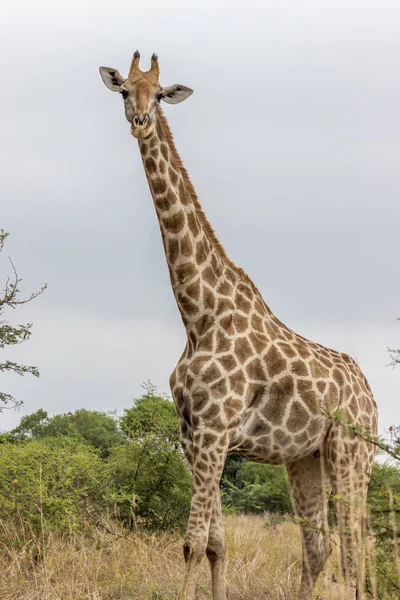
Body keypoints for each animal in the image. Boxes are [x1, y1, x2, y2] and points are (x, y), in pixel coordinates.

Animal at [99, 52, 378, 600]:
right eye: (123, 90)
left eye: (159, 93)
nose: (140, 122)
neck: (198, 314)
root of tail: (373, 398)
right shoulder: (193, 436)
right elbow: (214, 545)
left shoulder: (213, 431)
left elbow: (189, 544)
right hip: (305, 458)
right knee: (320, 548)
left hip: (351, 453)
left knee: (357, 547)